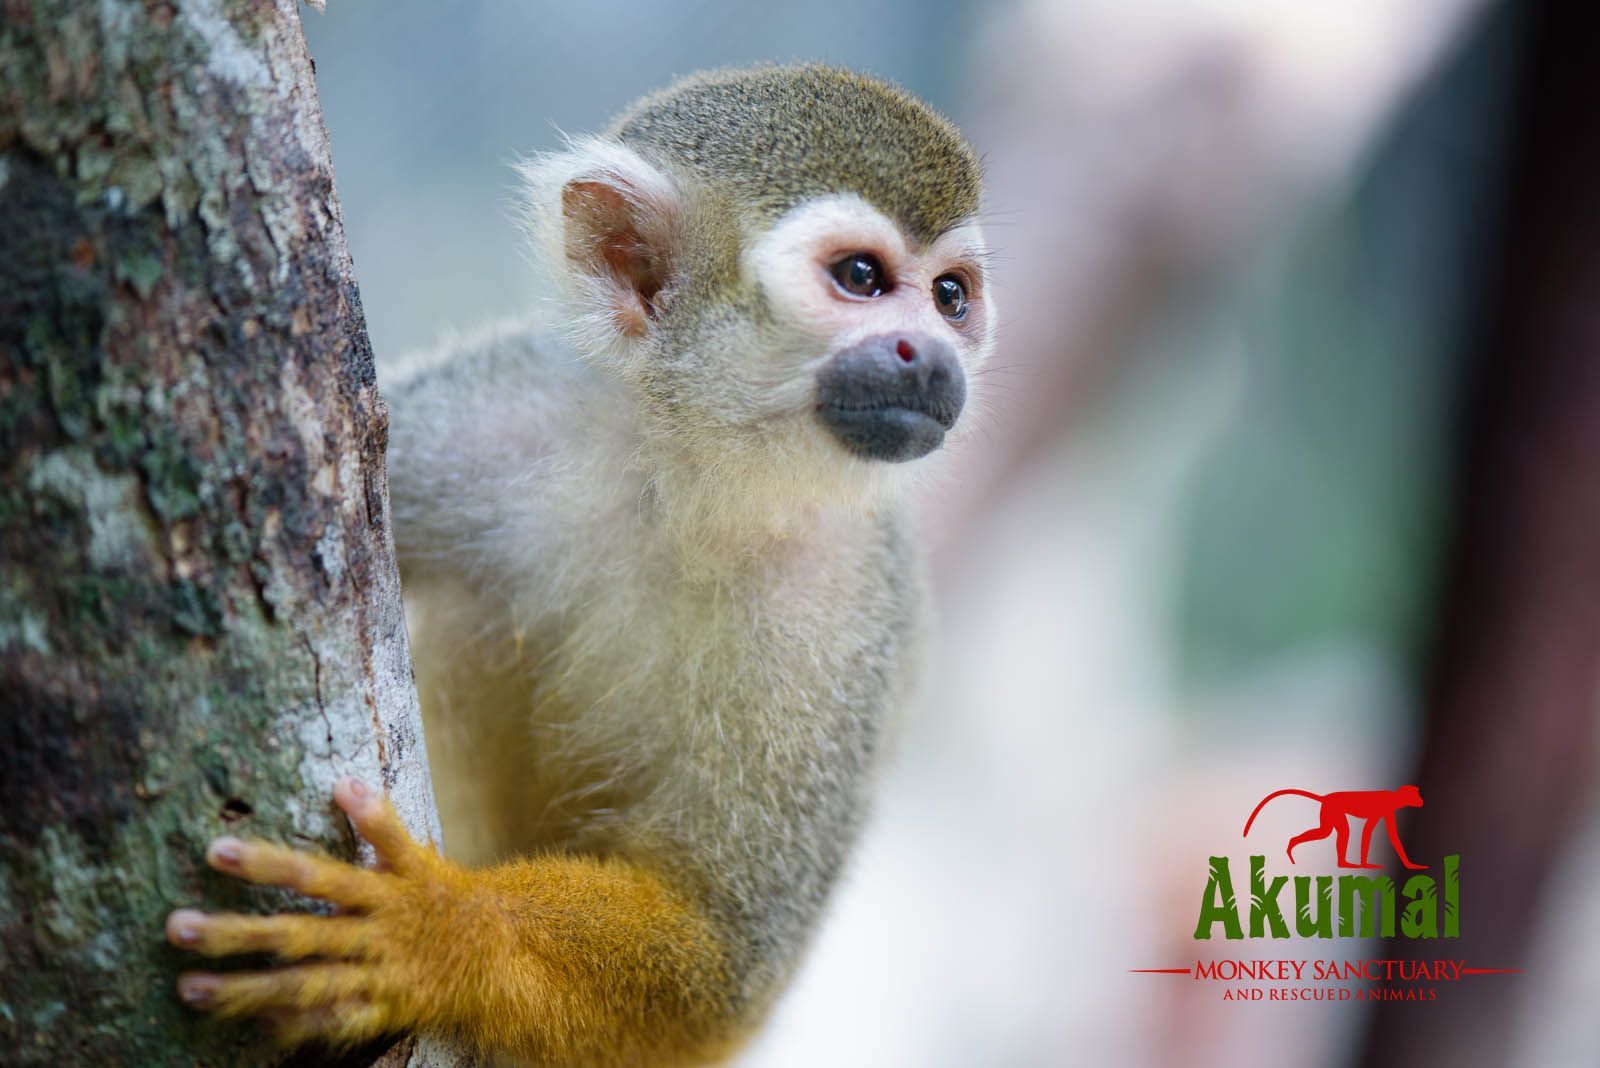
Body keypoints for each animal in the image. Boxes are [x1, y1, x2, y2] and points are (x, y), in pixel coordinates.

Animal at [164, 64, 994, 1066]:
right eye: (862, 278)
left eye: (950, 297)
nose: (932, 357)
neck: (689, 484)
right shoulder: (499, 415)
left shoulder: (844, 610)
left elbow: (721, 958)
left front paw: (442, 931)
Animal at [1242, 785, 1428, 871]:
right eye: (1416, 795)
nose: (1421, 801)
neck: (1394, 798)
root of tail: (1326, 797)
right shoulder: (1385, 808)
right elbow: (1370, 830)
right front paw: (1365, 864)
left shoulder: (1388, 811)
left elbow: (1386, 834)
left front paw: (1409, 864)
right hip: (1332, 809)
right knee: (1335, 832)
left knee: (1330, 831)